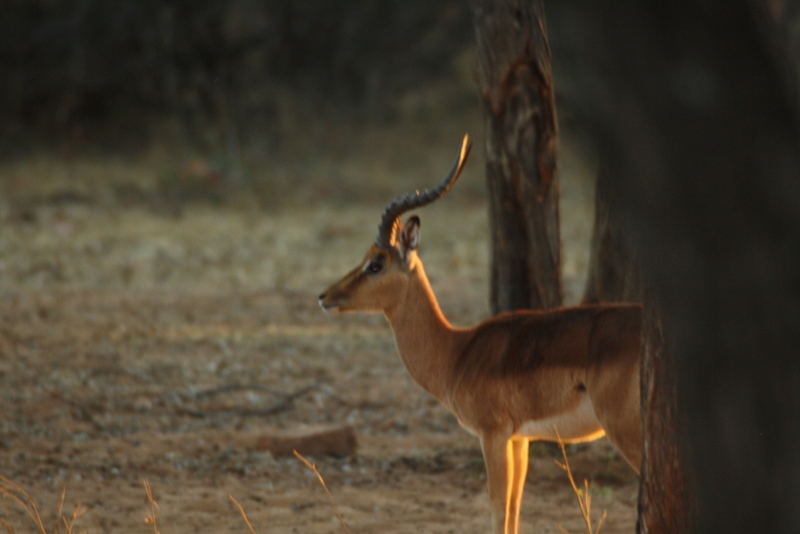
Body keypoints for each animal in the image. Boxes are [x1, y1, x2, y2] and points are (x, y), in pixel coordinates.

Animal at [318, 135, 642, 534]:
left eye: (375, 264)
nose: (324, 296)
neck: (456, 351)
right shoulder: (520, 438)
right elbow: (515, 507)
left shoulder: (493, 434)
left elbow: (497, 506)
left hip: (624, 427)